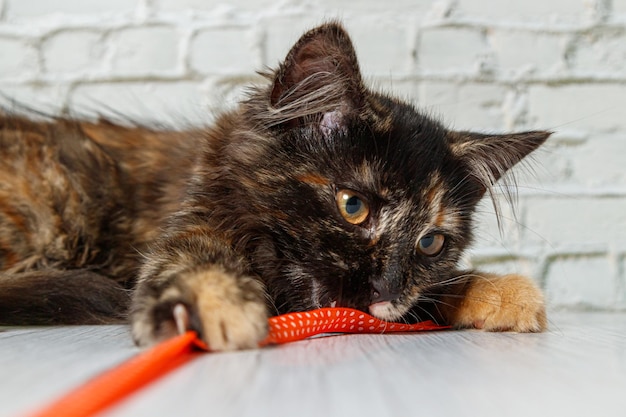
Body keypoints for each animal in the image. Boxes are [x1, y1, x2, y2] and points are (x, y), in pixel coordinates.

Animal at [0, 22, 544, 348]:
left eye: (431, 243)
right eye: (352, 206)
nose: (386, 288)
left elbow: (430, 295)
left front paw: (502, 291)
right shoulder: (194, 222)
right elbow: (193, 256)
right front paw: (204, 299)